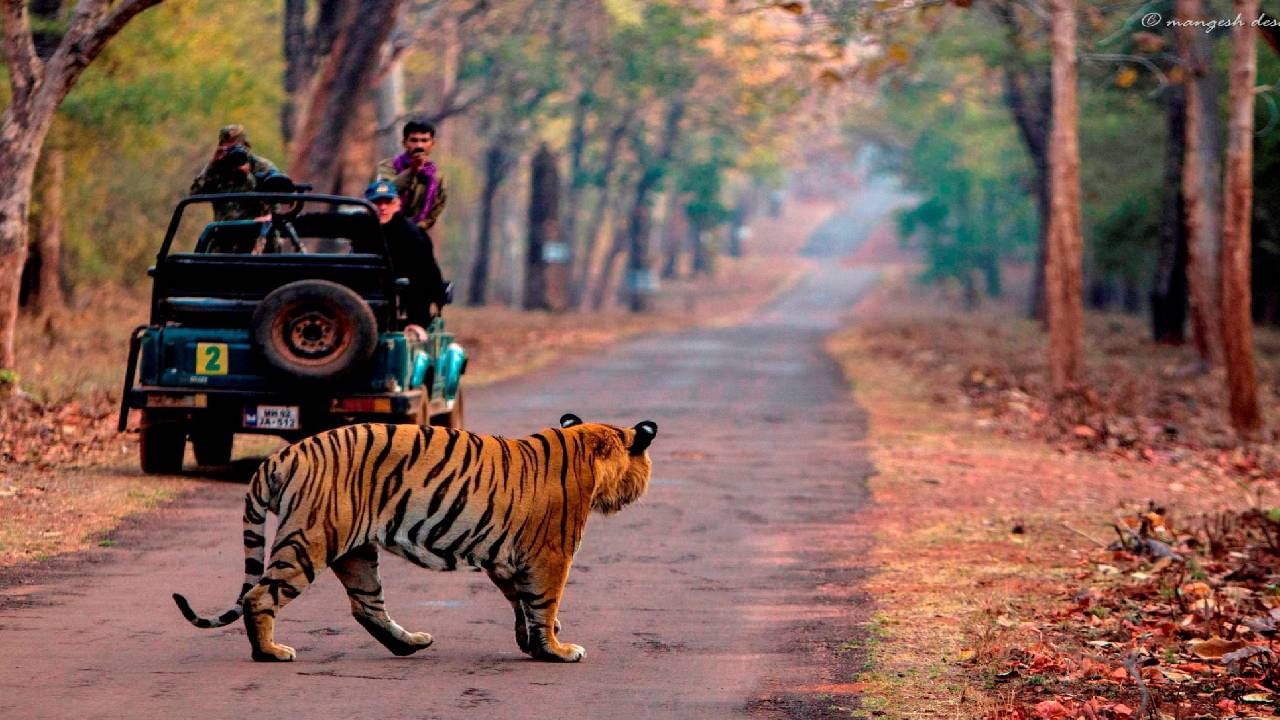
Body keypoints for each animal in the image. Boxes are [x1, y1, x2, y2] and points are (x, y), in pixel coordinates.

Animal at [174, 409, 655, 661]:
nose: (646, 481)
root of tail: (283, 455)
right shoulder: (551, 555)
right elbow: (543, 602)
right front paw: (556, 649)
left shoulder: (507, 561)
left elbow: (523, 604)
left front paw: (535, 642)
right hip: (309, 540)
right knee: (260, 595)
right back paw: (270, 652)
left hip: (356, 551)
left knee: (366, 606)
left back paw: (409, 644)